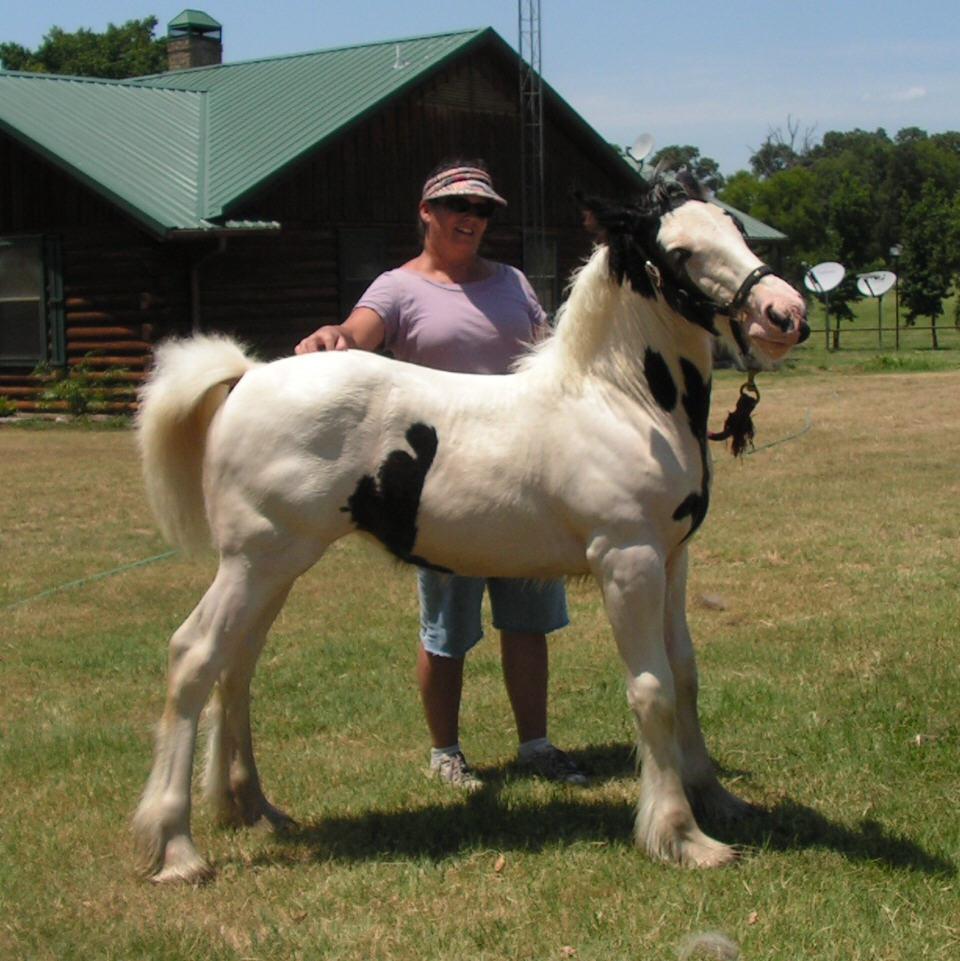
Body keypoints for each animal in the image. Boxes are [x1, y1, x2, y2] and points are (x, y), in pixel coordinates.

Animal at [133, 174, 808, 884]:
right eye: (680, 252)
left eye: (735, 229)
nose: (784, 314)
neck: (619, 400)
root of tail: (249, 376)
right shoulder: (630, 560)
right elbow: (652, 690)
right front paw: (681, 834)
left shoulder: (674, 560)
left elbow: (685, 674)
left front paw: (717, 799)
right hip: (256, 561)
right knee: (194, 656)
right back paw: (176, 847)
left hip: (273, 570)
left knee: (236, 666)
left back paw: (252, 807)